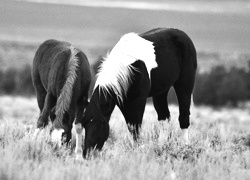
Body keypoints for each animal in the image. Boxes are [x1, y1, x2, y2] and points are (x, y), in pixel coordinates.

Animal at [75, 27, 196, 158]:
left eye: (101, 124)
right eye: (84, 124)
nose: (88, 153)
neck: (129, 68)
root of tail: (182, 34)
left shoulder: (138, 101)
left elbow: (135, 127)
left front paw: (137, 151)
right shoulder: (124, 103)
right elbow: (131, 127)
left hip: (184, 85)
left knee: (184, 116)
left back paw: (185, 148)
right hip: (161, 92)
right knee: (164, 117)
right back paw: (162, 147)